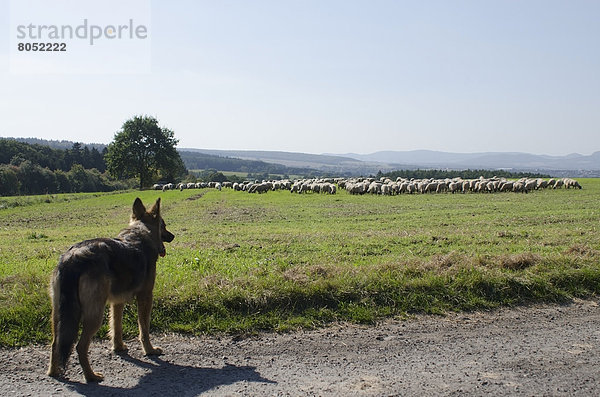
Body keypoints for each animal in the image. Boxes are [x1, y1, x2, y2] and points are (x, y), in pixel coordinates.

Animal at [47, 197, 173, 380]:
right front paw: (150, 350)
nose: (173, 236)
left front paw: (118, 347)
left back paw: (54, 372)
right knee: (80, 346)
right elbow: (144, 328)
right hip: (94, 315)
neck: (140, 232)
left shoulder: (117, 302)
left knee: (55, 343)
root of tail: (72, 258)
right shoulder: (145, 296)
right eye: (163, 225)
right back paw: (91, 376)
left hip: (59, 314)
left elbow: (116, 326)